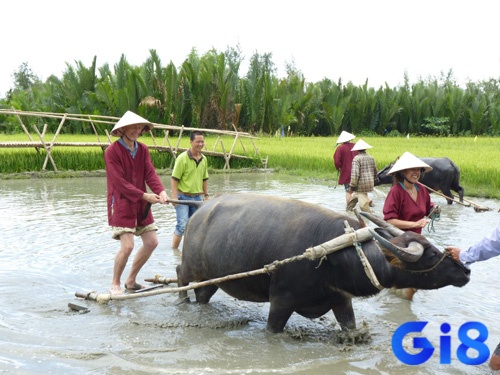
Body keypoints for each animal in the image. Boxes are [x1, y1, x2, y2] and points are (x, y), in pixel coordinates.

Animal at [178, 195, 470, 334]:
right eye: (430, 255)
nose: (465, 271)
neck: (333, 256)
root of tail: (200, 210)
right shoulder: (280, 301)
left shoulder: (341, 300)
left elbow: (349, 325)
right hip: (192, 266)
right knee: (180, 275)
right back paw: (181, 301)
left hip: (212, 279)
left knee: (203, 294)